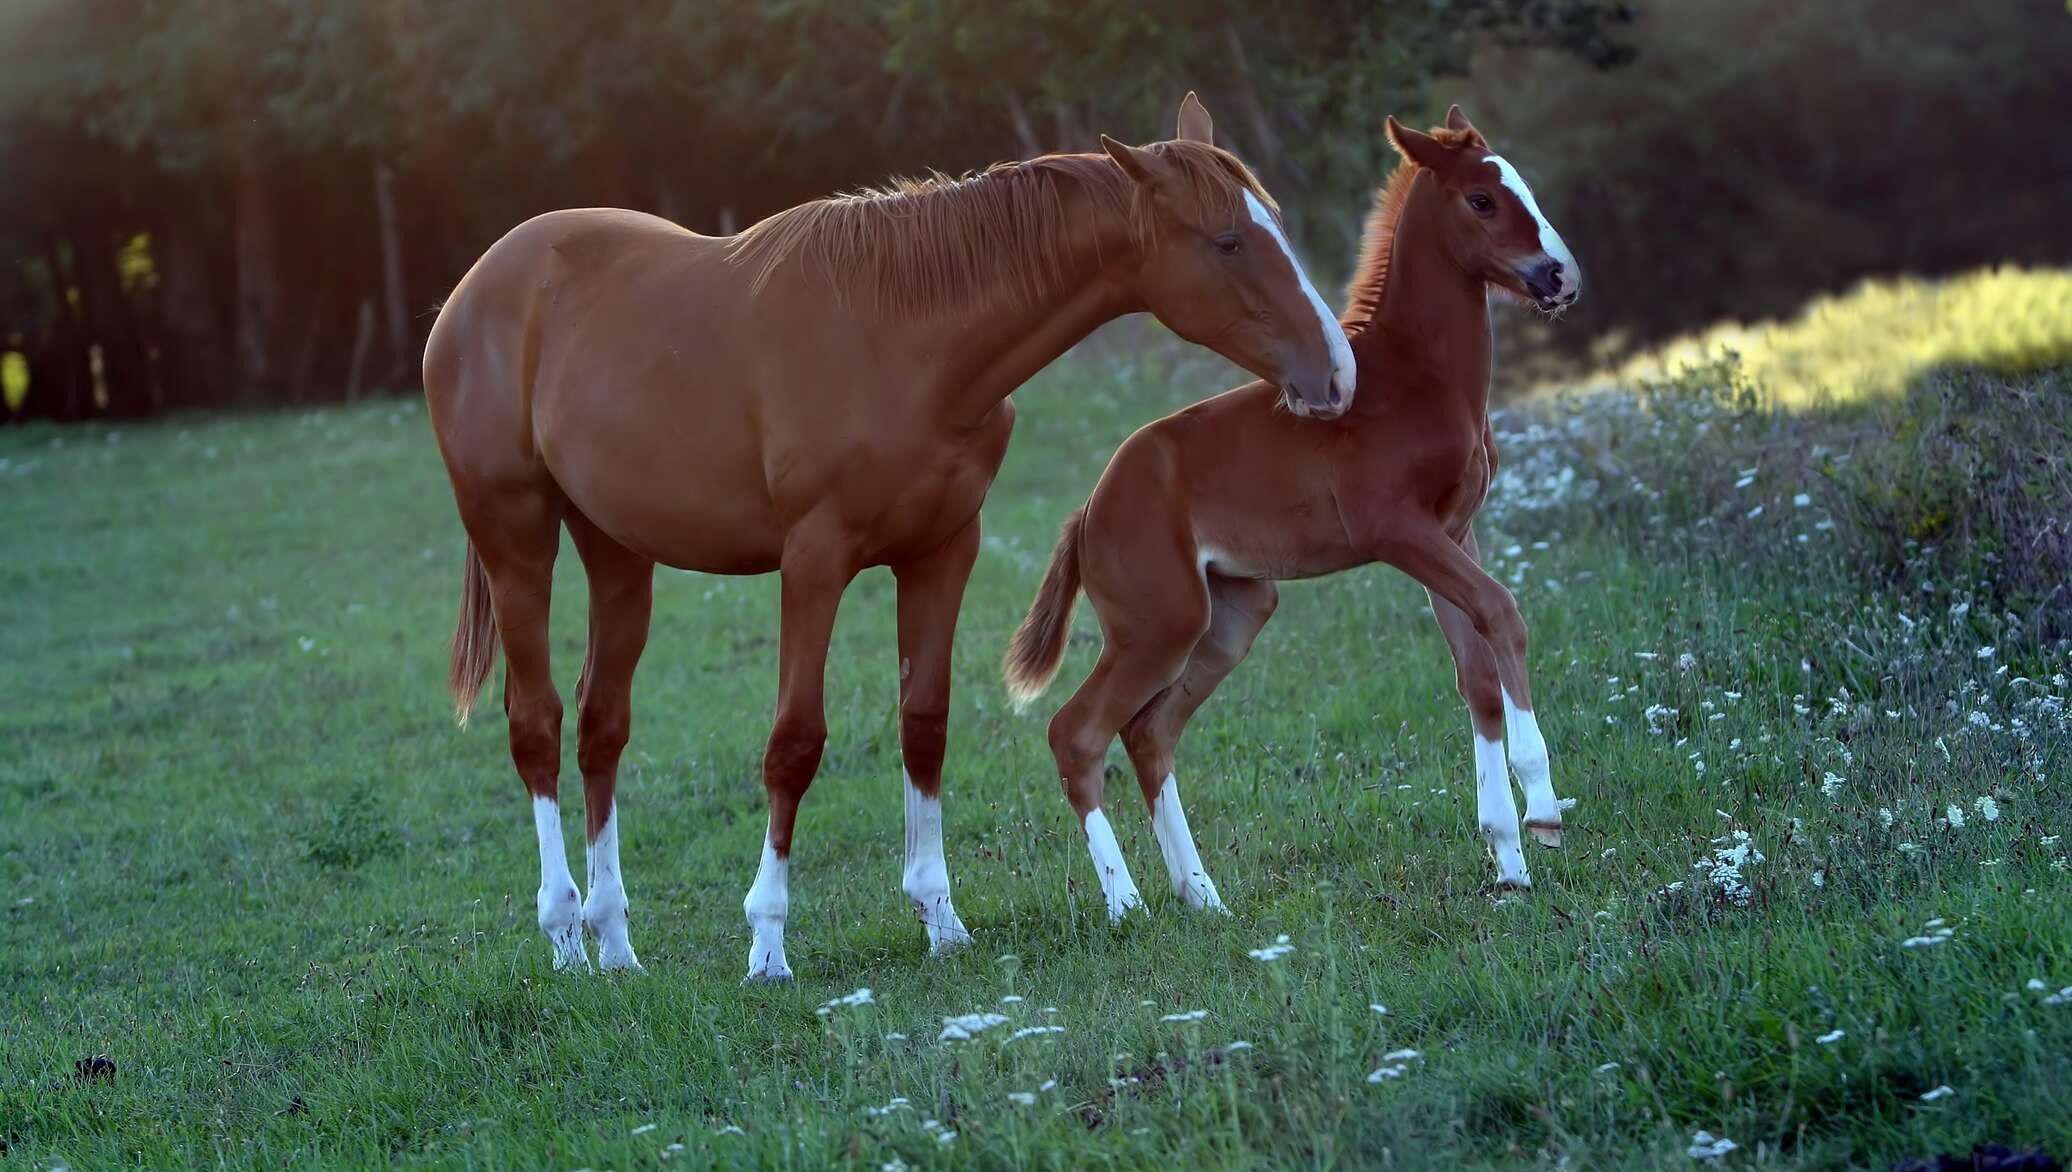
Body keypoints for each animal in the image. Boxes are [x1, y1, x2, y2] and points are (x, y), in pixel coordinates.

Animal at [426, 96, 1350, 981]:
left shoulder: (943, 552)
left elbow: (925, 724)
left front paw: (942, 922)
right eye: (1228, 239)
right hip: (517, 539)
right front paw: (768, 946)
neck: (905, 338)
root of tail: (474, 289)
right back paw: (567, 940)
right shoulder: (814, 561)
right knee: (537, 724)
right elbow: (795, 743)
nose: (1336, 373)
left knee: (600, 728)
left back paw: (615, 943)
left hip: (618, 552)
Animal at [998, 110, 1566, 919]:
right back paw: (1127, 905)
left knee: (1149, 732)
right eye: (1482, 200)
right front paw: (1543, 812)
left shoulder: (1457, 531)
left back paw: (1202, 896)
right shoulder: (1398, 531)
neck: (1419, 378)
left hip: (1233, 612)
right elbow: (1504, 613)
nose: (1558, 277)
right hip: (1159, 623)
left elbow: (1478, 674)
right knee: (1076, 733)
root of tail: (1089, 510)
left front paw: (1509, 863)